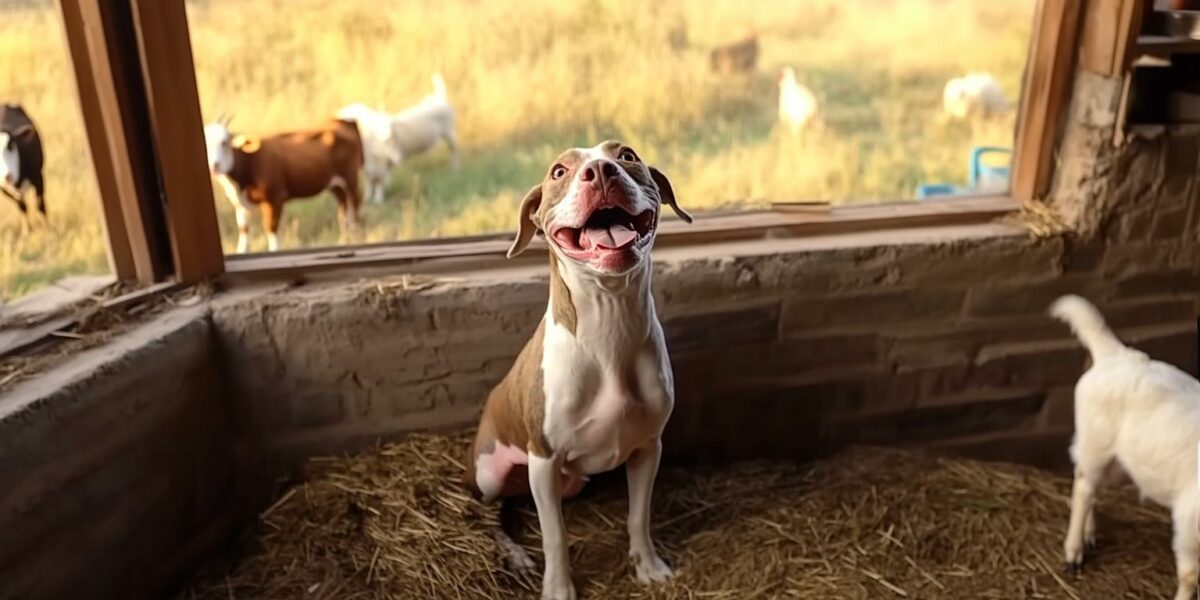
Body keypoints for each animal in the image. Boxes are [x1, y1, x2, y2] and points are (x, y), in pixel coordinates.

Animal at [204, 118, 362, 252]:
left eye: (224, 142)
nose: (214, 166)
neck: (250, 162)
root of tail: (344, 122)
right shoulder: (241, 205)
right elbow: (244, 232)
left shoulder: (275, 199)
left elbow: (271, 229)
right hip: (336, 186)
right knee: (344, 211)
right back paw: (345, 240)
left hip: (350, 180)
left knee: (355, 207)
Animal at [468, 138, 696, 597]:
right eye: (559, 171)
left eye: (627, 155)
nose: (602, 171)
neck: (609, 326)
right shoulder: (543, 459)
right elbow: (554, 535)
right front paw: (558, 587)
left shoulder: (648, 447)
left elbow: (639, 515)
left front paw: (648, 565)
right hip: (490, 473)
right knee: (490, 514)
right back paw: (515, 554)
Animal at [1051, 295, 1200, 600]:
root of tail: (1116, 355)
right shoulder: (1190, 519)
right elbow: (1190, 576)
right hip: (1096, 442)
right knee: (1084, 486)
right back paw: (1074, 551)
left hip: (1121, 461)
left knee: (1091, 484)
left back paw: (1089, 534)